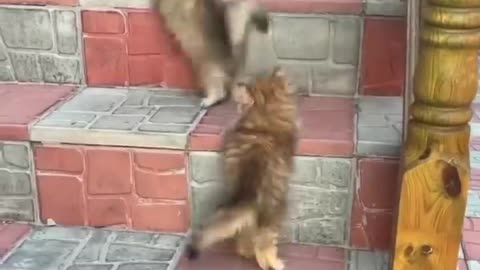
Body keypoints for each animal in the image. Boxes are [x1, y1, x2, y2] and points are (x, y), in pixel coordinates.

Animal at [187, 67, 296, 270]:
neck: (263, 112)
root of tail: (247, 194)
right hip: (274, 214)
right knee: (263, 245)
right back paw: (275, 264)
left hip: (241, 216)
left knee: (244, 240)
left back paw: (246, 253)